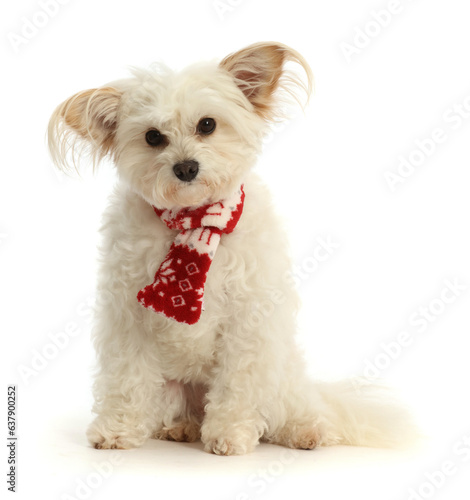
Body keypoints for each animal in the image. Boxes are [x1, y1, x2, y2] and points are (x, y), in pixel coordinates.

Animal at [46, 43, 414, 456]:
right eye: (153, 137)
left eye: (207, 124)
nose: (186, 168)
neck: (194, 223)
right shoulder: (128, 316)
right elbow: (126, 380)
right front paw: (116, 429)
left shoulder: (248, 322)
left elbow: (238, 385)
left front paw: (229, 435)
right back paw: (182, 427)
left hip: (282, 377)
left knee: (296, 411)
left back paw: (305, 431)